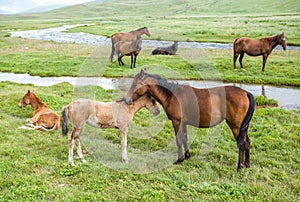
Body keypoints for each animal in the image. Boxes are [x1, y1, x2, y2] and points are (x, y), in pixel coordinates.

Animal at [125, 69, 255, 170]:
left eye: (135, 85)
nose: (127, 100)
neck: (171, 95)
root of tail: (246, 93)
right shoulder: (183, 123)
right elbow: (185, 139)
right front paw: (187, 156)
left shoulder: (177, 121)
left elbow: (179, 140)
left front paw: (179, 159)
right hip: (243, 127)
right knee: (247, 142)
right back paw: (247, 164)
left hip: (236, 126)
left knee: (241, 144)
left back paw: (240, 166)